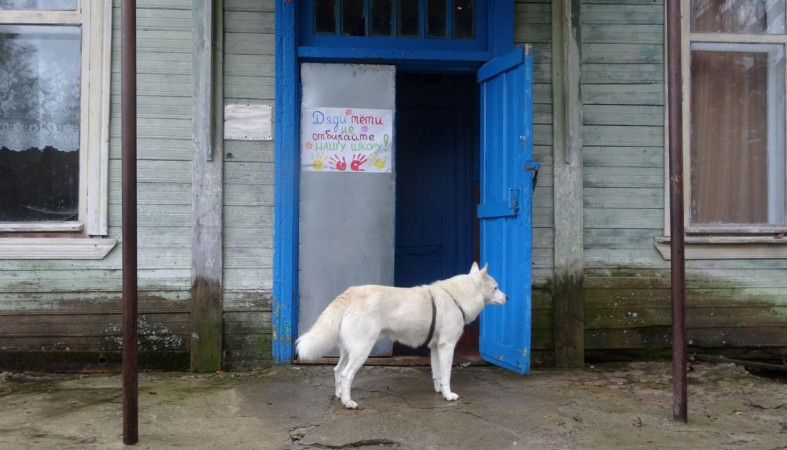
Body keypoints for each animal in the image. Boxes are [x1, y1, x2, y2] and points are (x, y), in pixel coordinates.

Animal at [296, 262, 508, 409]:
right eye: (496, 287)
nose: (507, 297)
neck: (456, 297)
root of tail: (350, 293)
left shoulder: (435, 348)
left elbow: (437, 373)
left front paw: (439, 391)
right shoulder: (447, 346)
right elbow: (447, 374)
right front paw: (448, 395)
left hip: (349, 351)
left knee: (337, 370)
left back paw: (340, 396)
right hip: (362, 350)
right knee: (346, 374)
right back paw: (348, 402)